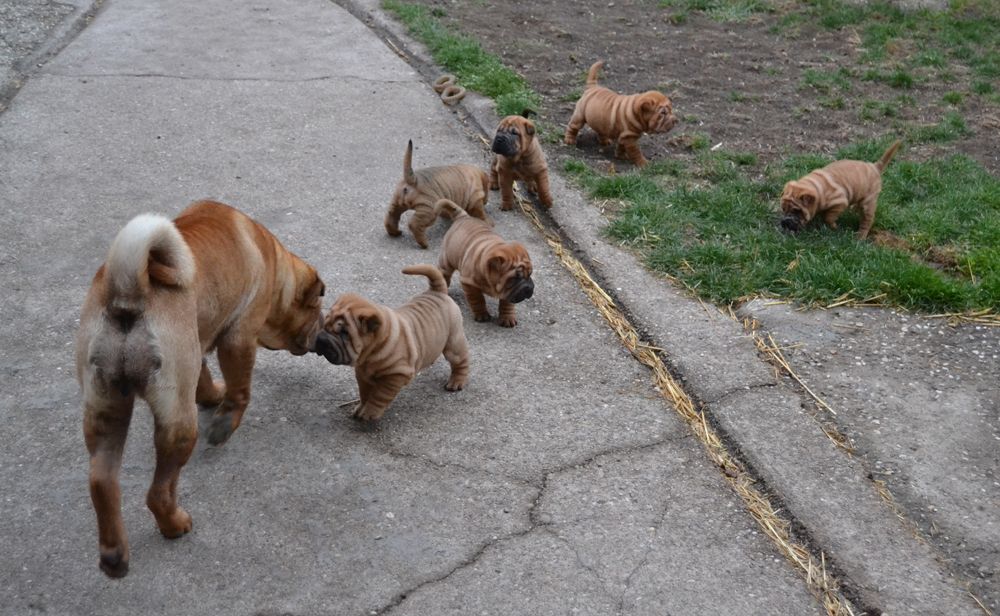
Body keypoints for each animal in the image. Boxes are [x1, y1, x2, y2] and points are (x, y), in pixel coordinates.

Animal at [79, 199, 328, 576]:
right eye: (317, 311)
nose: (323, 334)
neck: (272, 260)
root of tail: (128, 295)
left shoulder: (200, 345)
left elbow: (204, 378)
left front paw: (212, 396)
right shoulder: (239, 338)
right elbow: (240, 390)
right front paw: (225, 420)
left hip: (106, 407)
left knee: (102, 482)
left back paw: (114, 558)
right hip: (178, 423)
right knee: (159, 491)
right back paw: (174, 524)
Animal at [312, 262, 468, 422]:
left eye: (344, 333)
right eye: (325, 324)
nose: (321, 339)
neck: (374, 349)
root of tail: (437, 292)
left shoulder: (396, 375)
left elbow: (380, 395)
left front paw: (370, 412)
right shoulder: (362, 375)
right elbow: (364, 393)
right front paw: (361, 408)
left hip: (453, 343)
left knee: (460, 361)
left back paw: (456, 382)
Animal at [436, 200, 536, 330]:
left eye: (530, 274)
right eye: (515, 278)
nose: (529, 287)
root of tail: (463, 216)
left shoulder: (508, 292)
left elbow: (507, 304)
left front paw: (507, 317)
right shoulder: (469, 284)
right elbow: (478, 299)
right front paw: (482, 314)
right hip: (447, 259)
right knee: (444, 273)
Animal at [780, 141, 908, 239]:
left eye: (797, 211)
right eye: (783, 209)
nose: (784, 222)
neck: (817, 187)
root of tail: (875, 167)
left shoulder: (839, 203)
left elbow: (828, 217)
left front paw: (834, 227)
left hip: (868, 203)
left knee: (867, 221)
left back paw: (860, 237)